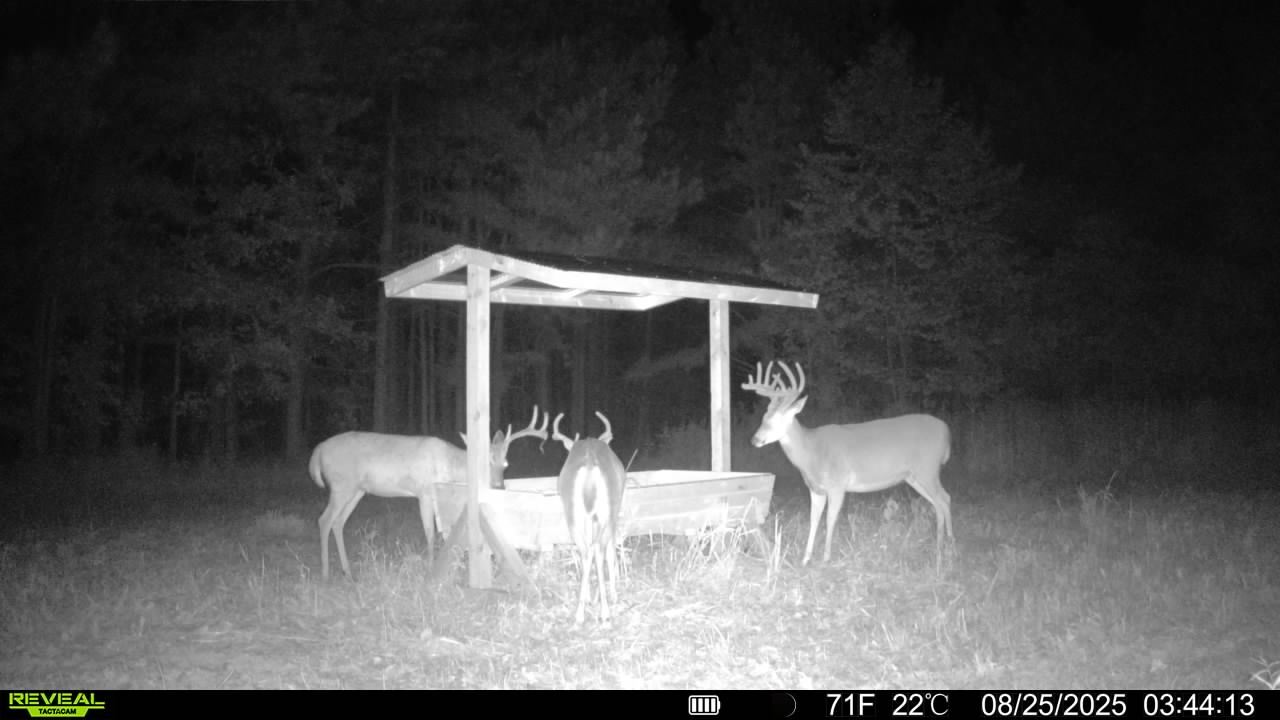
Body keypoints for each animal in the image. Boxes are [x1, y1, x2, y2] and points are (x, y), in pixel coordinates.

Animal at [308, 406, 549, 579]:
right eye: (486, 462)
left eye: (505, 464)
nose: (499, 486)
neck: (449, 465)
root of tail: (317, 451)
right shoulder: (423, 490)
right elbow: (430, 531)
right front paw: (431, 566)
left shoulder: (436, 495)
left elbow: (442, 532)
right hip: (342, 485)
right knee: (324, 520)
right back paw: (325, 573)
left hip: (356, 489)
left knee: (338, 522)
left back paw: (347, 571)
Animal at [552, 411, 627, 625]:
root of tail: (590, 464)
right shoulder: (613, 513)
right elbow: (609, 552)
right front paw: (611, 595)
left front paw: (589, 598)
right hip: (606, 511)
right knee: (600, 549)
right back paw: (605, 611)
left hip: (574, 514)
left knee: (586, 550)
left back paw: (580, 613)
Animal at [742, 361, 953, 570]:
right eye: (764, 416)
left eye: (779, 418)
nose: (754, 440)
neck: (812, 452)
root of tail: (946, 431)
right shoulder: (816, 489)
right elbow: (813, 519)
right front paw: (805, 559)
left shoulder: (837, 485)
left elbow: (830, 520)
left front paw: (826, 559)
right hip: (914, 477)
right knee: (939, 502)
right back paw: (944, 547)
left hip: (928, 469)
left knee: (944, 498)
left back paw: (946, 549)